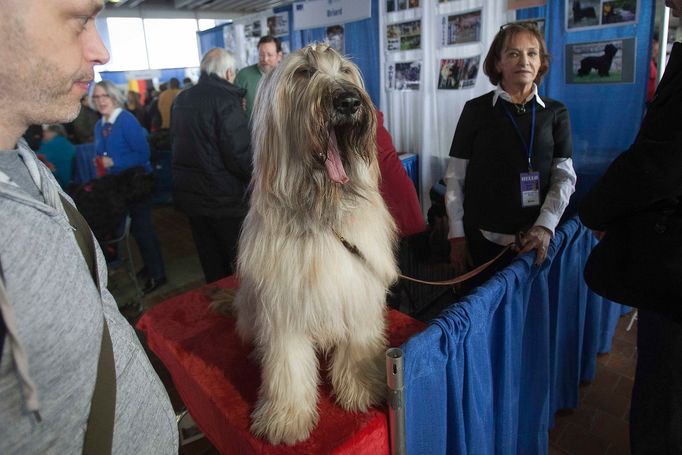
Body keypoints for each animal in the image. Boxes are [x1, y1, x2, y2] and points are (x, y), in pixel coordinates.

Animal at [232, 43, 396, 446]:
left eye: (345, 71)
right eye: (303, 72)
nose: (350, 102)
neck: (322, 214)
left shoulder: (358, 292)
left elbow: (358, 345)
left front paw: (362, 387)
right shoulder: (283, 309)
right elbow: (288, 366)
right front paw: (286, 417)